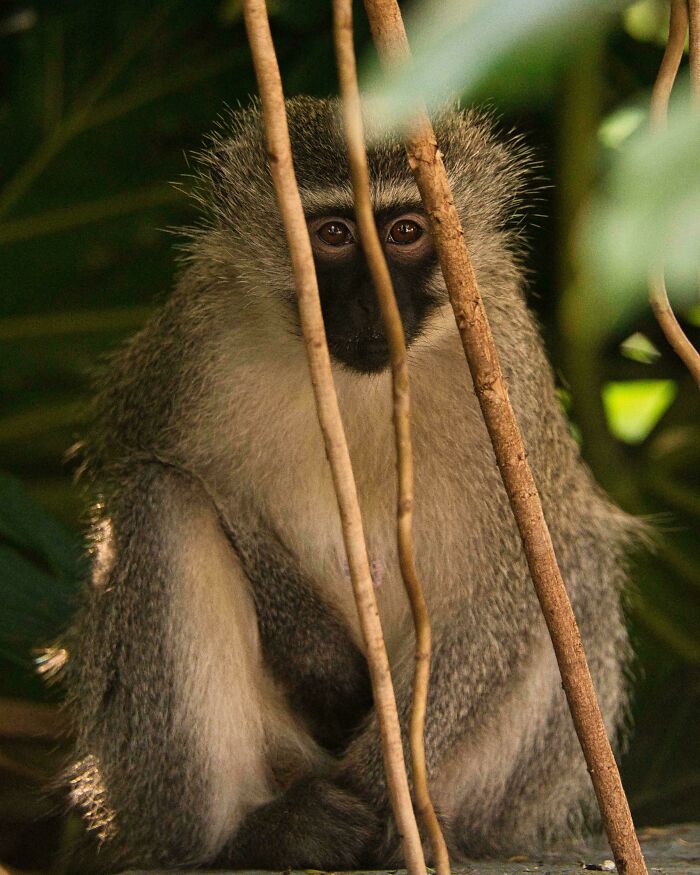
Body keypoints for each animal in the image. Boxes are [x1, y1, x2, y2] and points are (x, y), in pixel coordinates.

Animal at [65, 96, 639, 871]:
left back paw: (418, 828)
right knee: (156, 503)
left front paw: (386, 781)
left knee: (578, 564)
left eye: (404, 232)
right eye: (335, 235)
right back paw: (249, 836)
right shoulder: (194, 344)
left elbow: (530, 569)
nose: (376, 304)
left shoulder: (508, 374)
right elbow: (157, 466)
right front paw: (323, 660)